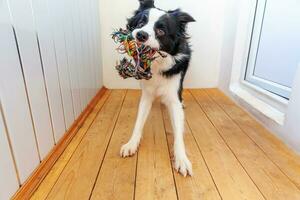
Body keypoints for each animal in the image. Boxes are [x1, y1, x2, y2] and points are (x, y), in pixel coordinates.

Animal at [119, 0, 195, 177]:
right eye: (140, 24)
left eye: (161, 31)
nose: (141, 35)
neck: (157, 64)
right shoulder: (146, 94)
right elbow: (138, 121)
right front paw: (131, 143)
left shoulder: (174, 96)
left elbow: (178, 131)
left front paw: (181, 159)